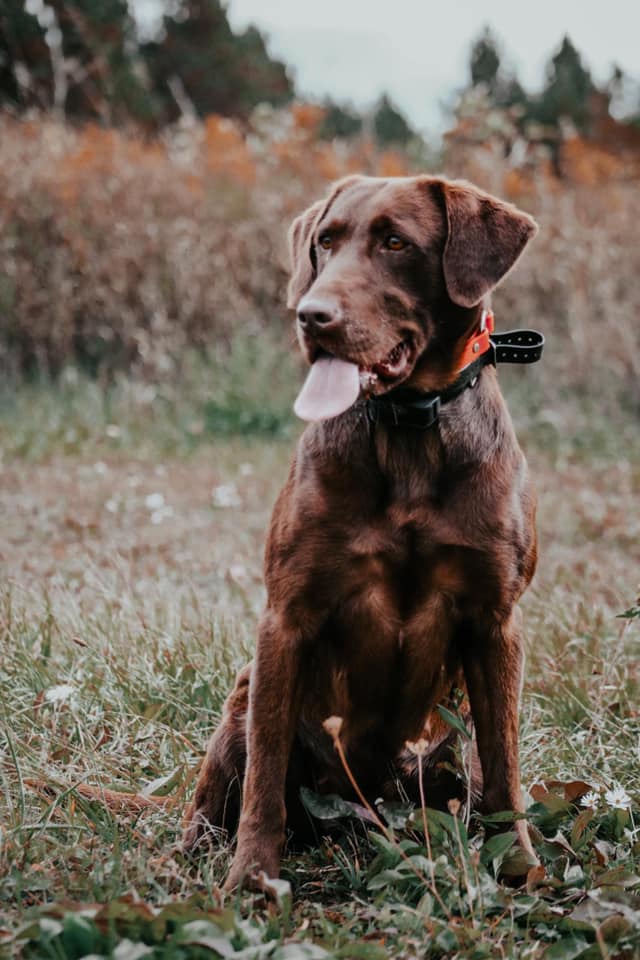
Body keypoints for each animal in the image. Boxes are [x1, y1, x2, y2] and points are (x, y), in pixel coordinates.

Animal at [184, 174, 540, 892]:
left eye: (396, 243)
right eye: (325, 241)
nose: (311, 315)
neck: (408, 432)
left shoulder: (497, 621)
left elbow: (507, 768)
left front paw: (518, 867)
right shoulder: (286, 617)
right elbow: (265, 774)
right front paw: (253, 877)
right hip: (243, 697)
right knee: (217, 800)